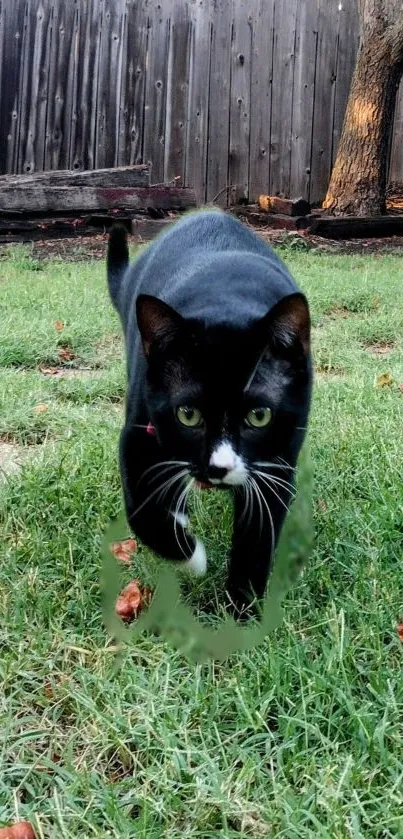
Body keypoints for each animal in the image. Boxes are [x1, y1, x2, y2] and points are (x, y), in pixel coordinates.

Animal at [106, 210, 312, 616]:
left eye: (259, 416)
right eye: (188, 414)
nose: (218, 468)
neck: (225, 300)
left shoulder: (278, 461)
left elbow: (257, 537)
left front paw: (243, 610)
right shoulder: (137, 435)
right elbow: (141, 510)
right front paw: (194, 557)